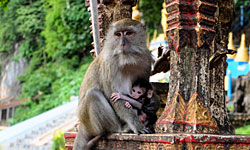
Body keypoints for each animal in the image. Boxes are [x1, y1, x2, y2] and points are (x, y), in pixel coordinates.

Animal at [73, 18, 152, 149]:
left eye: (128, 33)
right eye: (118, 34)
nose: (122, 43)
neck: (126, 61)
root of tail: (83, 126)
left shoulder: (146, 60)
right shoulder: (108, 65)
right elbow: (113, 96)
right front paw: (137, 124)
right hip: (90, 123)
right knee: (93, 95)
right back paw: (119, 128)